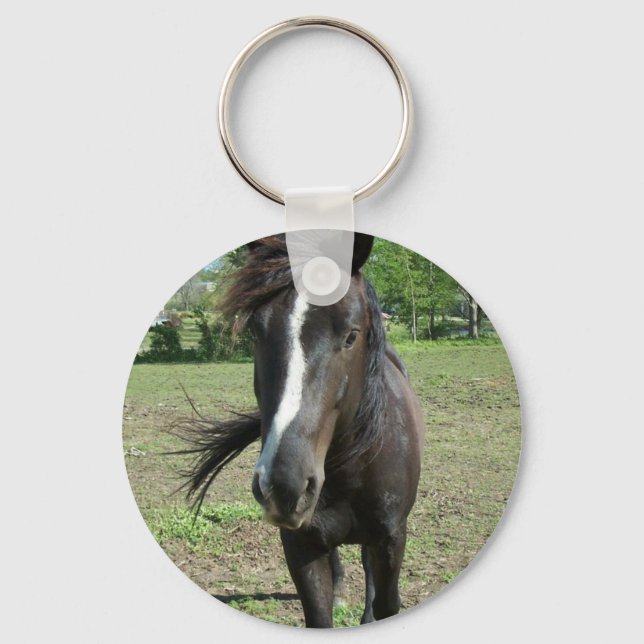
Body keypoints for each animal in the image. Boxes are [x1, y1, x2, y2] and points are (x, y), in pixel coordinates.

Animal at [176, 233, 425, 628]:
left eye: (352, 335)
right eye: (256, 332)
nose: (283, 486)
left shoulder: (391, 539)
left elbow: (387, 601)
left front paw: (371, 613)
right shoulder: (301, 546)